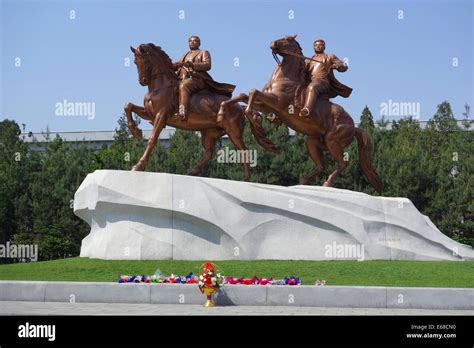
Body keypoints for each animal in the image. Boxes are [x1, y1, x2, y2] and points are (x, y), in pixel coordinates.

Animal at [124, 42, 280, 179]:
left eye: (144, 60)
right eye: (135, 62)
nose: (142, 81)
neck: (160, 86)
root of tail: (240, 107)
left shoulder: (162, 115)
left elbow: (152, 139)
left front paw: (138, 166)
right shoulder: (149, 113)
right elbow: (128, 106)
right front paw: (135, 131)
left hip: (233, 131)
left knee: (243, 149)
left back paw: (246, 177)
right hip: (209, 132)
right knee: (209, 153)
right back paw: (192, 172)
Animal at [218, 35, 382, 192]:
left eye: (288, 39)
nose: (272, 43)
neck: (285, 77)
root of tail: (354, 127)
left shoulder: (277, 102)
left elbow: (253, 92)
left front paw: (253, 117)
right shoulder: (268, 105)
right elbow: (243, 95)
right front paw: (222, 112)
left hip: (332, 140)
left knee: (342, 163)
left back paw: (326, 183)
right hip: (313, 141)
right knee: (322, 165)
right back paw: (303, 182)